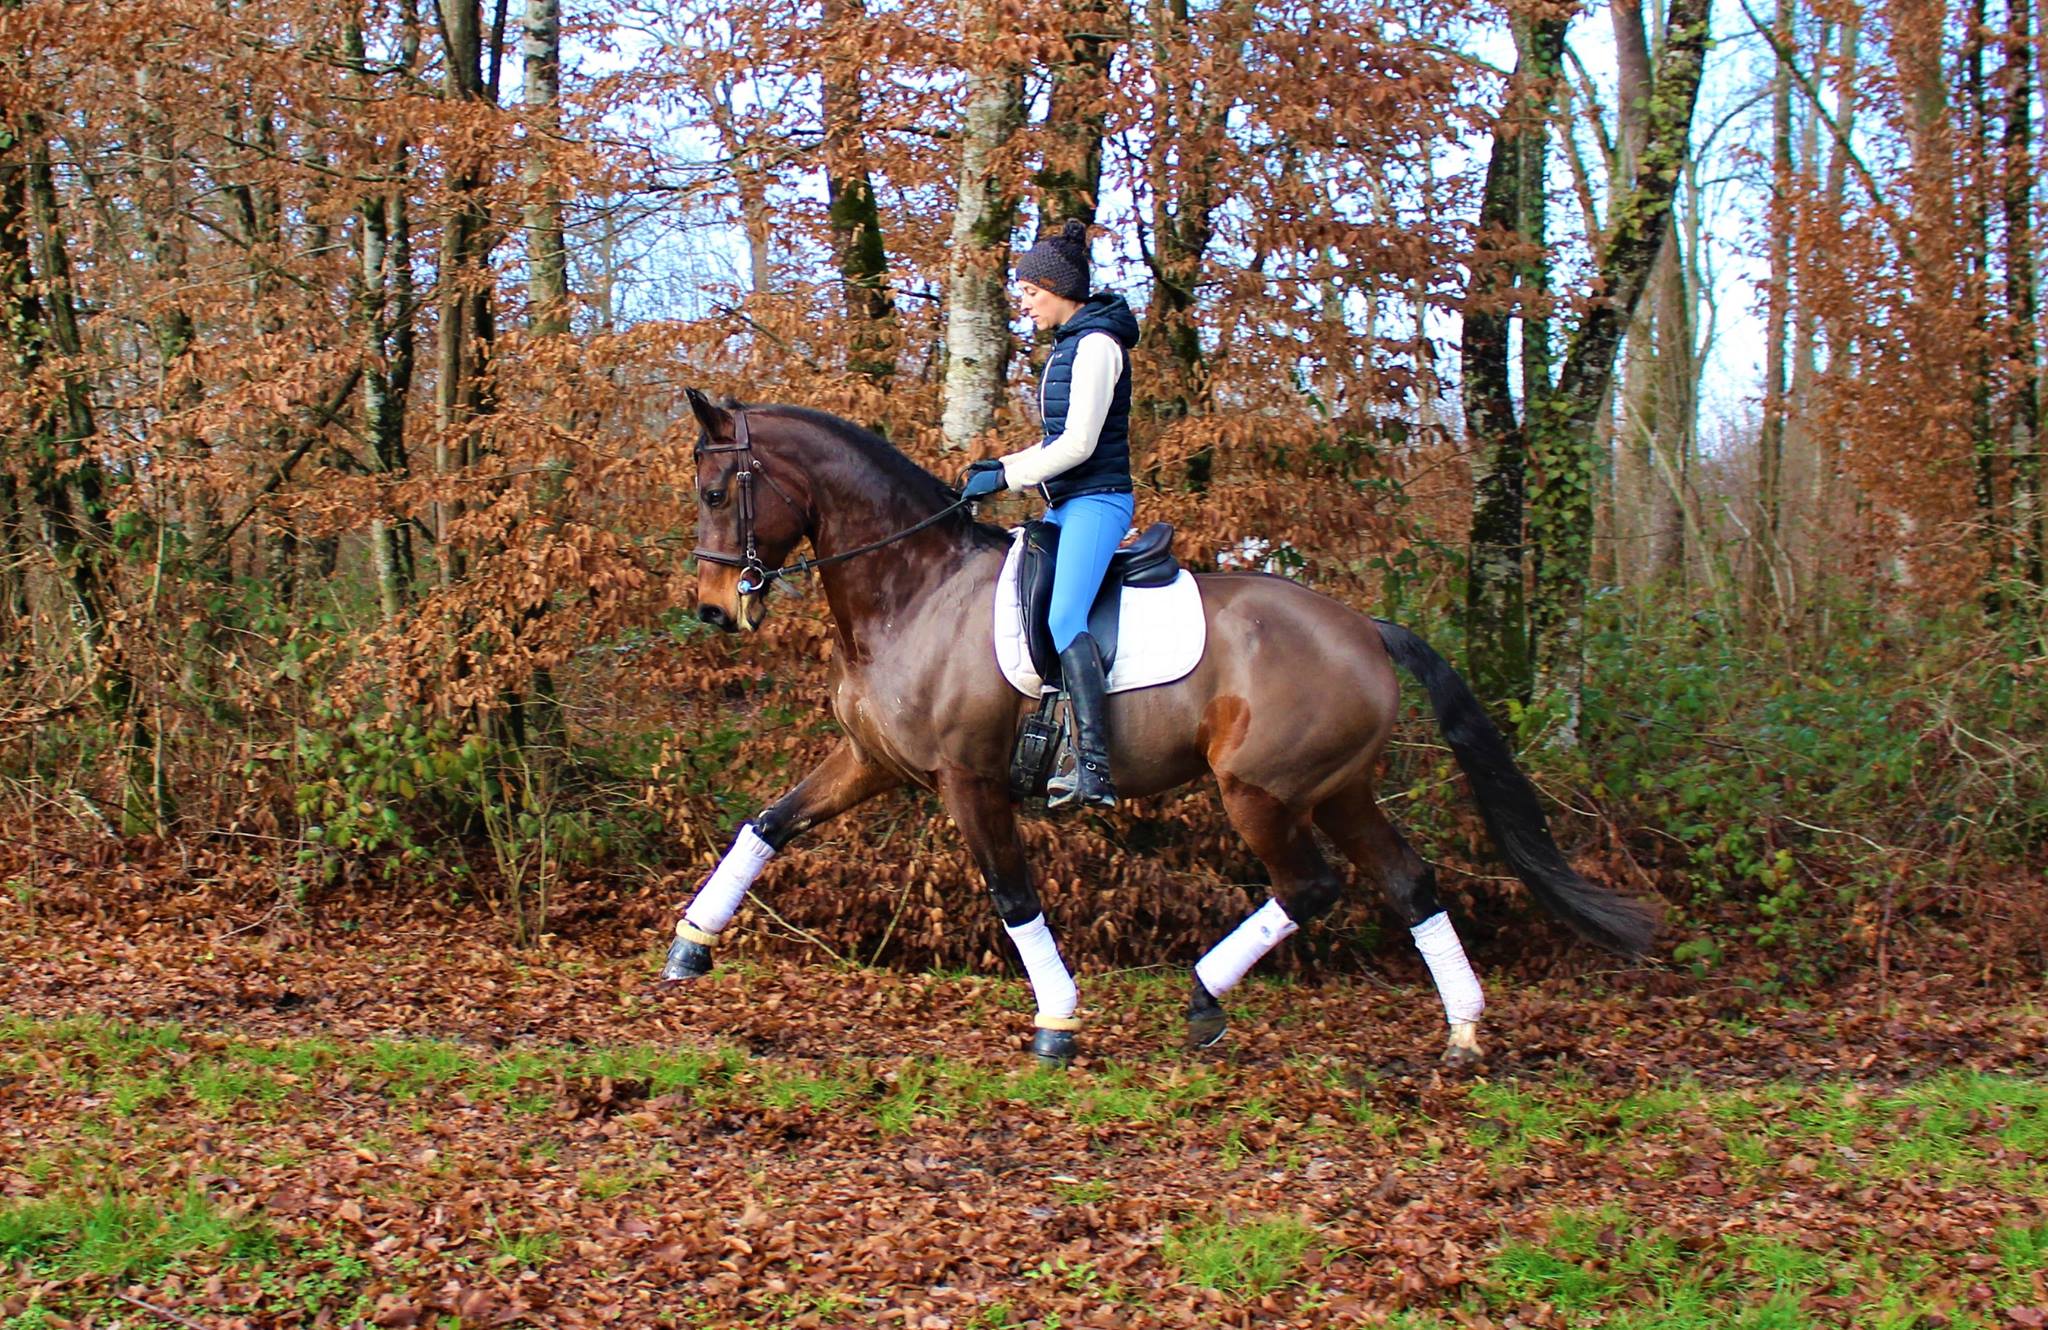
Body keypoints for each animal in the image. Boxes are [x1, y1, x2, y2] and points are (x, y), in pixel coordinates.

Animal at [664, 391, 1659, 1067]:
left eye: (716, 489)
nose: (715, 610)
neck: (915, 585)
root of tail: (1365, 628)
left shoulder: (968, 780)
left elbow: (1013, 896)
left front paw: (1057, 1020)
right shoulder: (872, 760)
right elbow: (767, 825)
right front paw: (690, 945)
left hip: (1261, 791)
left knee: (1310, 887)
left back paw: (1204, 997)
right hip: (1340, 789)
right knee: (1410, 884)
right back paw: (1463, 1032)